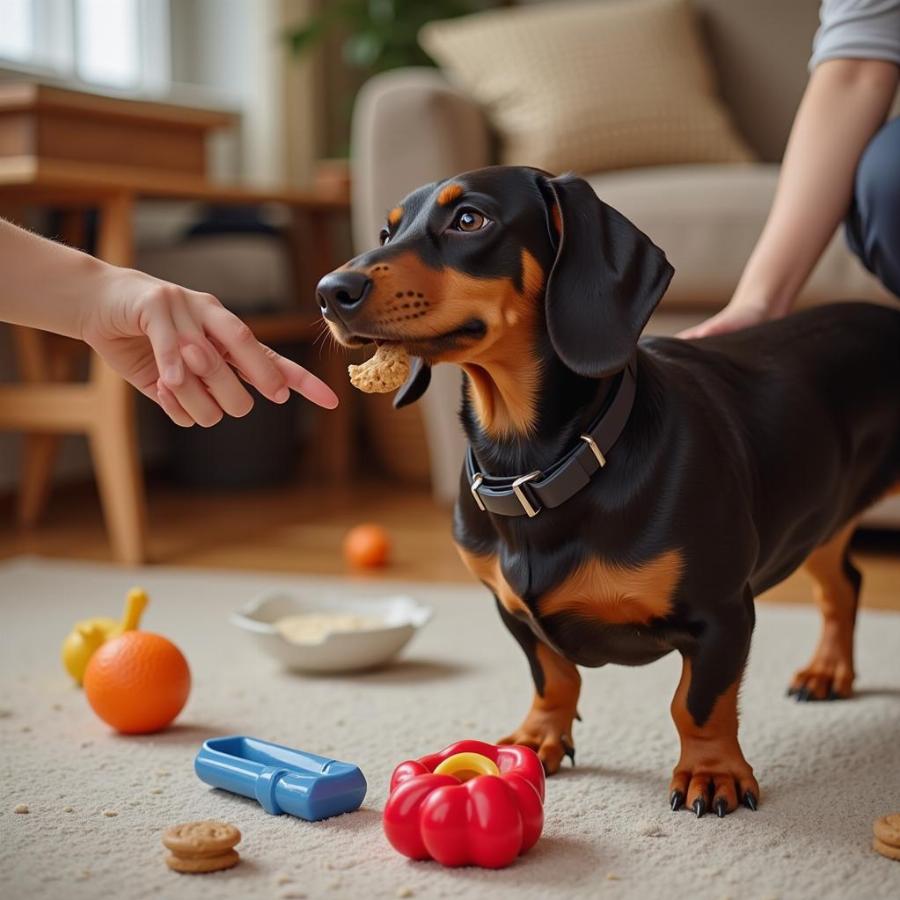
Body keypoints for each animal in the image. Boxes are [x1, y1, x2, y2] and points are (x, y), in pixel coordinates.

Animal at [316, 165, 900, 820]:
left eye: (470, 219)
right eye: (386, 231)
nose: (329, 291)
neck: (537, 468)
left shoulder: (722, 613)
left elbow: (696, 703)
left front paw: (712, 772)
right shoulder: (511, 609)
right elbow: (554, 675)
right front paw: (538, 737)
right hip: (821, 521)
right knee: (843, 585)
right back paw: (828, 671)